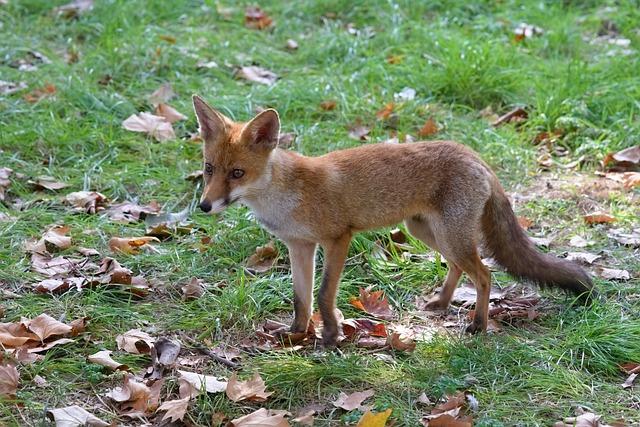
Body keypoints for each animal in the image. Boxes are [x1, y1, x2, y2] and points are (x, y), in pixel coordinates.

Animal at [194, 94, 596, 348]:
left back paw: (479, 325)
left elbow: (323, 294)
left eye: (237, 173)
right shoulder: (299, 245)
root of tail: (473, 154)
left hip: (449, 236)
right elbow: (301, 298)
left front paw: (330, 336)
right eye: (210, 169)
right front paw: (295, 334)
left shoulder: (338, 238)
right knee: (457, 267)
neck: (287, 195)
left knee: (484, 274)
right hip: (427, 232)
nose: (204, 206)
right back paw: (442, 303)